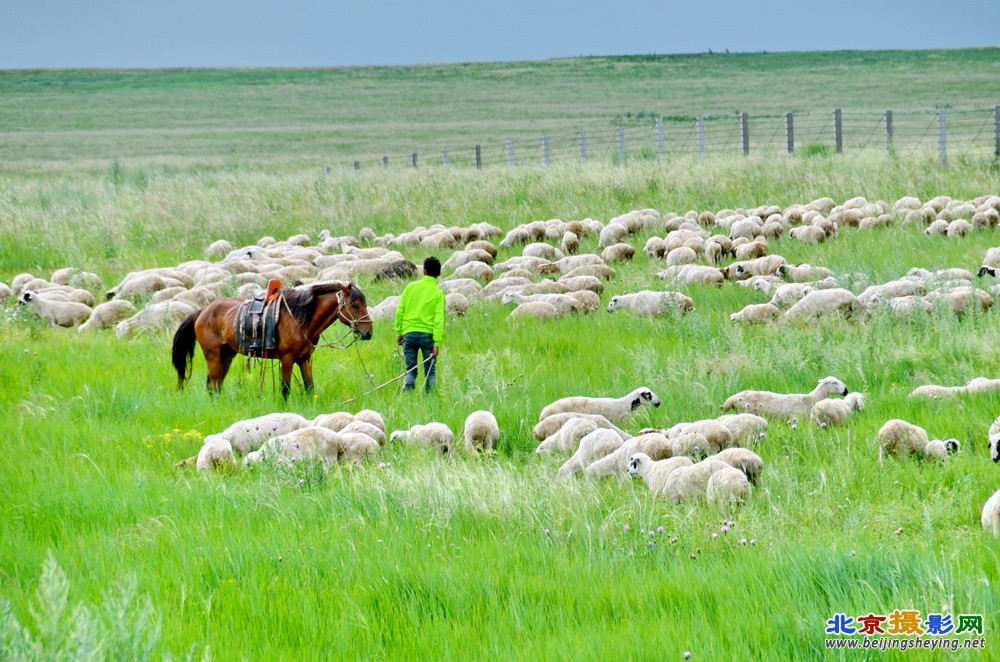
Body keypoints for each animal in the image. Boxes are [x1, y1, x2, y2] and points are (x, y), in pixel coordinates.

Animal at [172, 282, 372, 400]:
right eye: (355, 305)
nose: (368, 332)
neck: (301, 319)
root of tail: (202, 312)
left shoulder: (305, 359)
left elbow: (309, 387)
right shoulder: (287, 359)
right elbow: (285, 389)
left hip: (226, 356)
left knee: (215, 385)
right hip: (213, 355)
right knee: (213, 385)